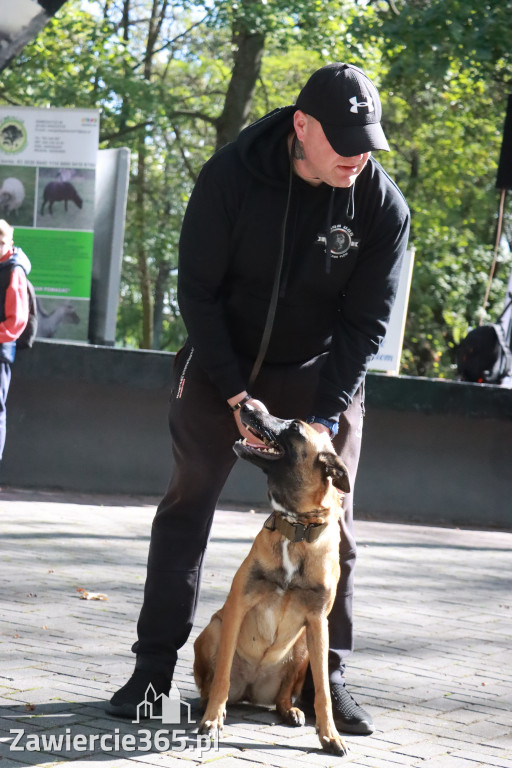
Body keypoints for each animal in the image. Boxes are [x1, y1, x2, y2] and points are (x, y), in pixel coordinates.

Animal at [194, 404, 350, 752]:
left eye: (294, 427)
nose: (248, 405)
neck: (297, 528)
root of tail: (252, 690)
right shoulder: (237, 607)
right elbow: (221, 675)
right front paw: (213, 720)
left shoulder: (318, 623)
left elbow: (322, 691)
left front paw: (330, 734)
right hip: (213, 628)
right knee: (211, 684)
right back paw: (207, 705)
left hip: (303, 647)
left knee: (283, 695)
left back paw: (290, 710)